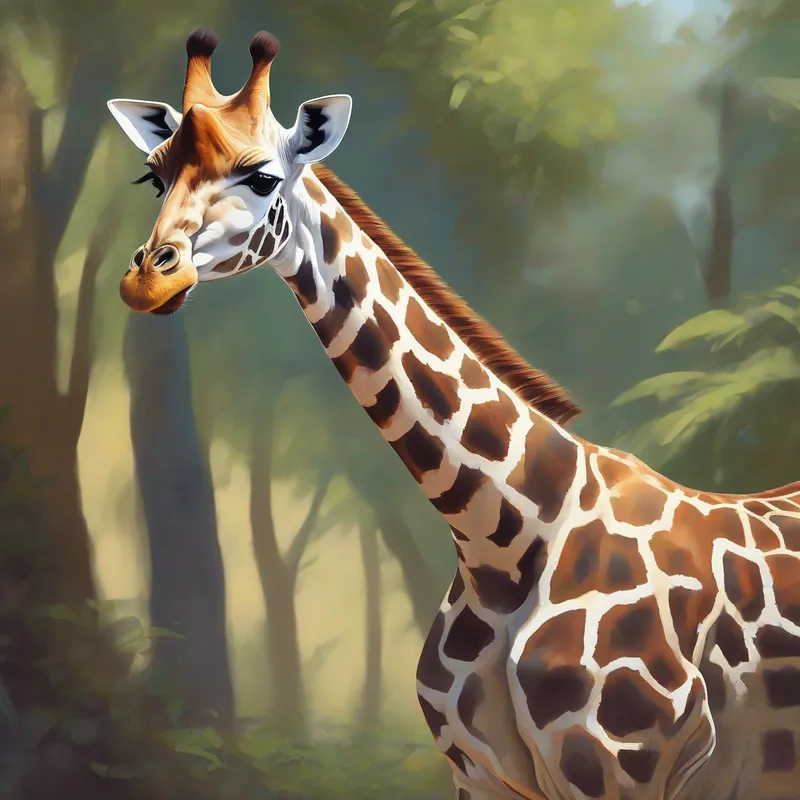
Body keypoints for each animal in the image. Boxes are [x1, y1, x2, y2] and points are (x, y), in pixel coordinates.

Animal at [107, 28, 800, 800]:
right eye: (154, 176)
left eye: (261, 177)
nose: (147, 278)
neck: (498, 539)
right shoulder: (480, 773)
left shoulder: (631, 769)